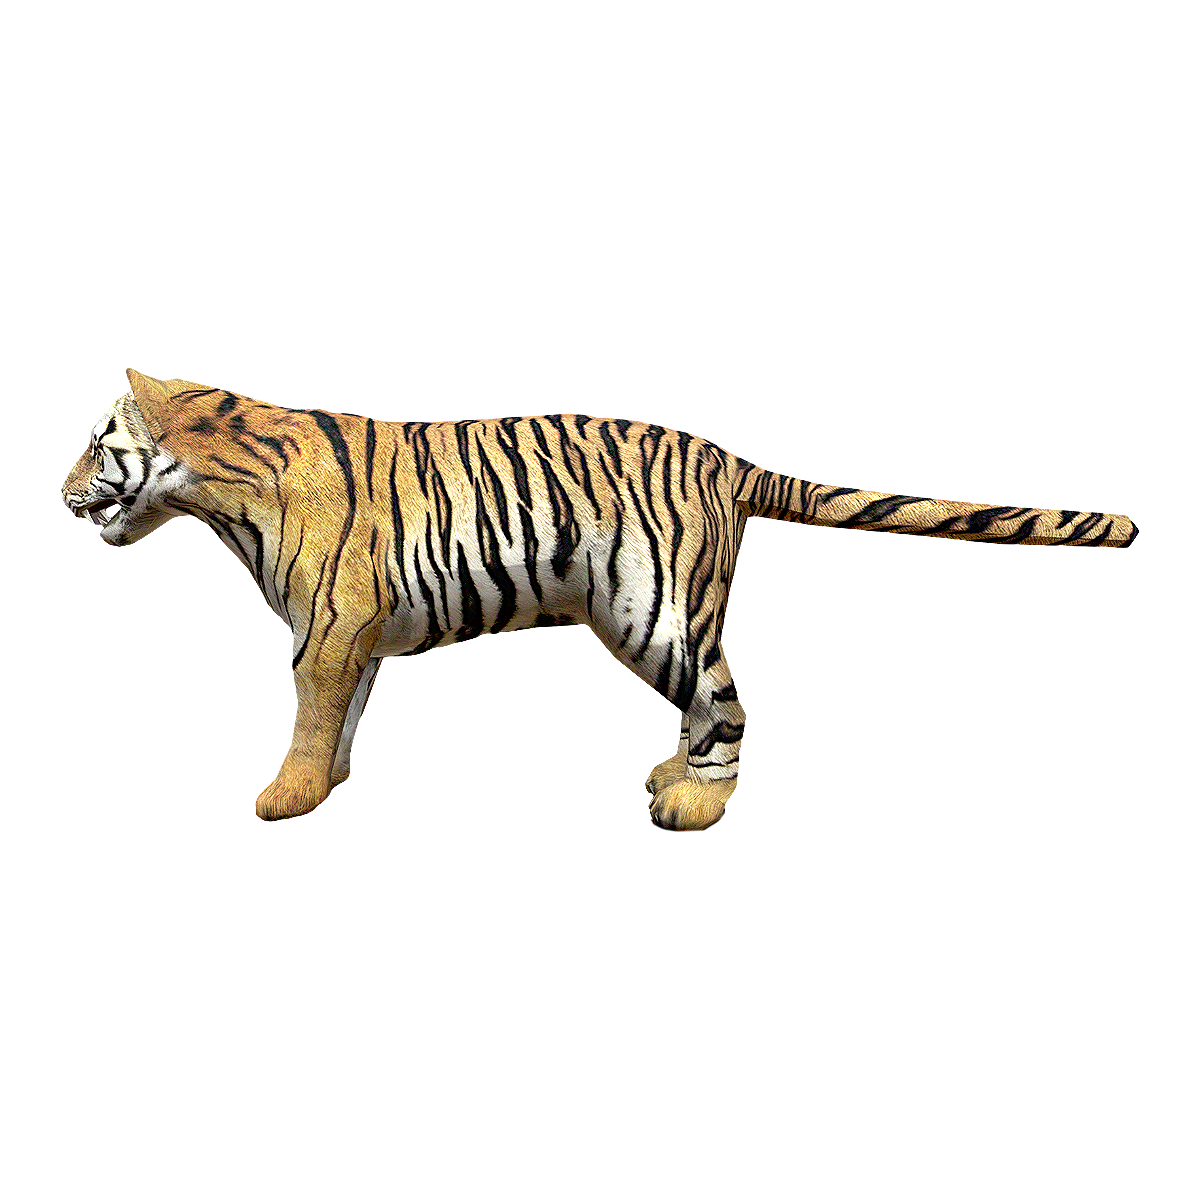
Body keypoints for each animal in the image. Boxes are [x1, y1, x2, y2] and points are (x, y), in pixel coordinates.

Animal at [61, 371, 1136, 830]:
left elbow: (313, 713)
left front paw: (287, 792)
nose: (64, 484)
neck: (216, 483)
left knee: (726, 700)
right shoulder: (356, 631)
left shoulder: (332, 625)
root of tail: (723, 452)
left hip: (657, 608)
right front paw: (325, 784)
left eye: (100, 441)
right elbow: (344, 715)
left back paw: (696, 801)